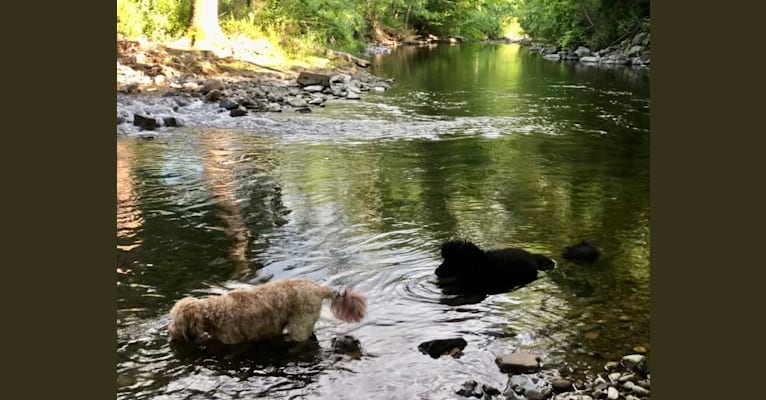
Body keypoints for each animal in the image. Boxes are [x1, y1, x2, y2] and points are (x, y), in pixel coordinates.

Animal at [170, 278, 368, 344]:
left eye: (175, 318)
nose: (169, 331)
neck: (212, 313)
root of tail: (319, 289)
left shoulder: (233, 340)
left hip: (299, 326)